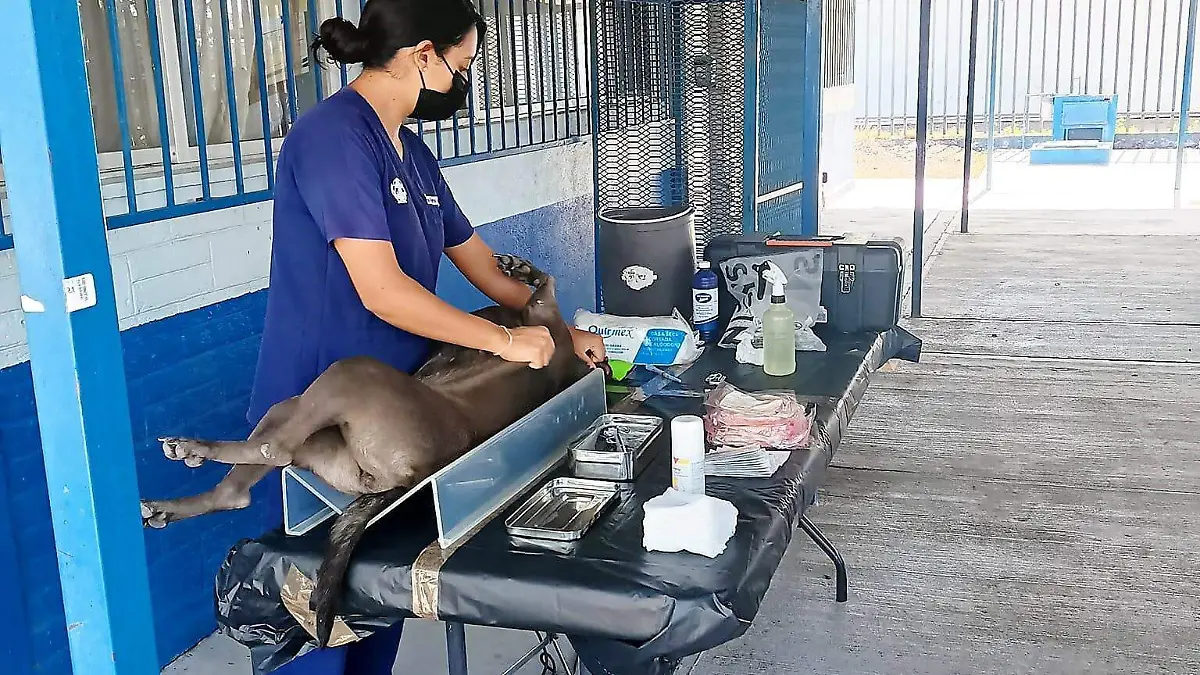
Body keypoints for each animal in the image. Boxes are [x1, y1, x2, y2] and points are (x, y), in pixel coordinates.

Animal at [138, 254, 607, 647]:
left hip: (348, 376)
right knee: (242, 481)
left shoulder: (545, 321)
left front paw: (525, 275)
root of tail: (414, 474)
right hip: (310, 419)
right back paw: (179, 485)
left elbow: (547, 291)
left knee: (275, 449)